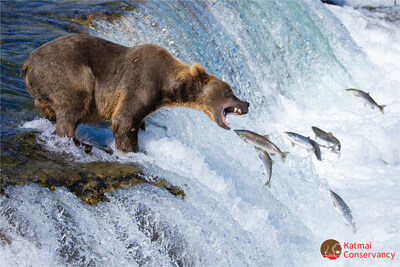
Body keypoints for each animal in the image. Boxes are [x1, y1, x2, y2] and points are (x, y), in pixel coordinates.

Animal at [21, 34, 248, 153]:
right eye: (229, 90)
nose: (246, 104)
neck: (169, 85)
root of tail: (28, 61)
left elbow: (138, 119)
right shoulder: (143, 82)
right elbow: (124, 121)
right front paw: (132, 150)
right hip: (66, 72)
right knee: (75, 104)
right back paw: (80, 142)